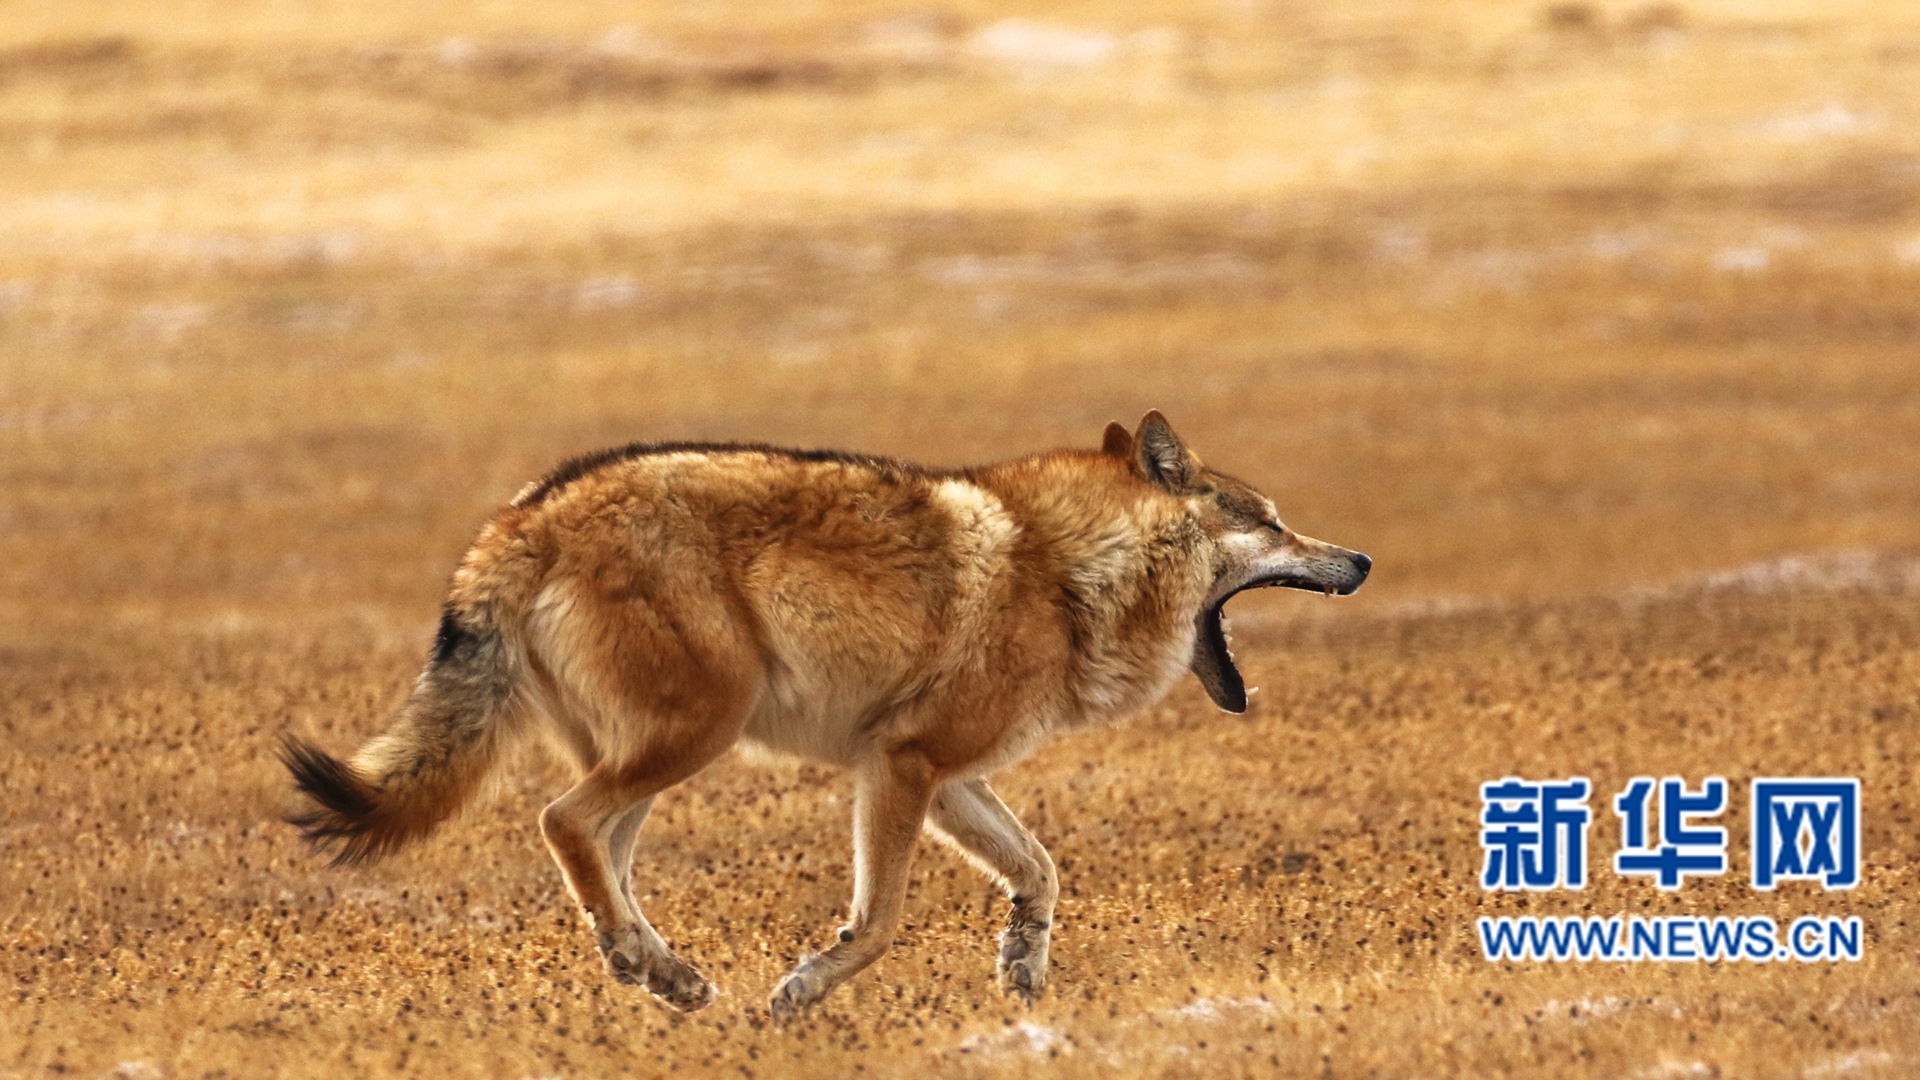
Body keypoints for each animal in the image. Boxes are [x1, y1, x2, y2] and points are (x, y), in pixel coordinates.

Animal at [280, 407, 1367, 1014]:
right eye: (1272, 523)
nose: (1357, 559)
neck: (1067, 573)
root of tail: (521, 514)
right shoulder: (900, 765)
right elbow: (877, 924)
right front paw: (803, 990)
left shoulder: (942, 776)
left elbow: (1041, 873)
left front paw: (1022, 973)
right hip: (693, 736)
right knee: (561, 822)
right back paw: (651, 968)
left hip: (656, 757)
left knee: (599, 856)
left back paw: (659, 976)